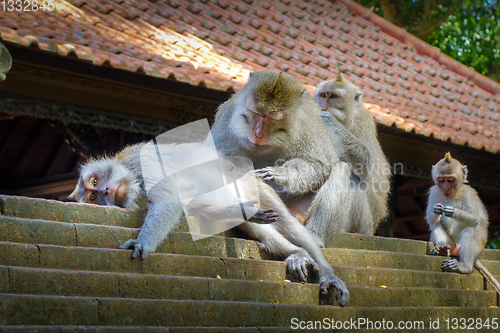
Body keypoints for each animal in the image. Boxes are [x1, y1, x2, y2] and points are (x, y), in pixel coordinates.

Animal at [70, 139, 350, 304]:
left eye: (94, 182)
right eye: (93, 196)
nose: (105, 191)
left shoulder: (141, 162)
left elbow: (169, 199)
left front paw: (142, 243)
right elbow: (192, 208)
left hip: (257, 187)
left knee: (290, 226)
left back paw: (324, 269)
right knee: (257, 228)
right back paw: (295, 252)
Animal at [209, 70, 350, 304]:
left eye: (271, 119)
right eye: (256, 114)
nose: (258, 133)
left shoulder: (308, 122)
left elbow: (319, 163)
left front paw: (279, 174)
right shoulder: (227, 118)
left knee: (340, 169)